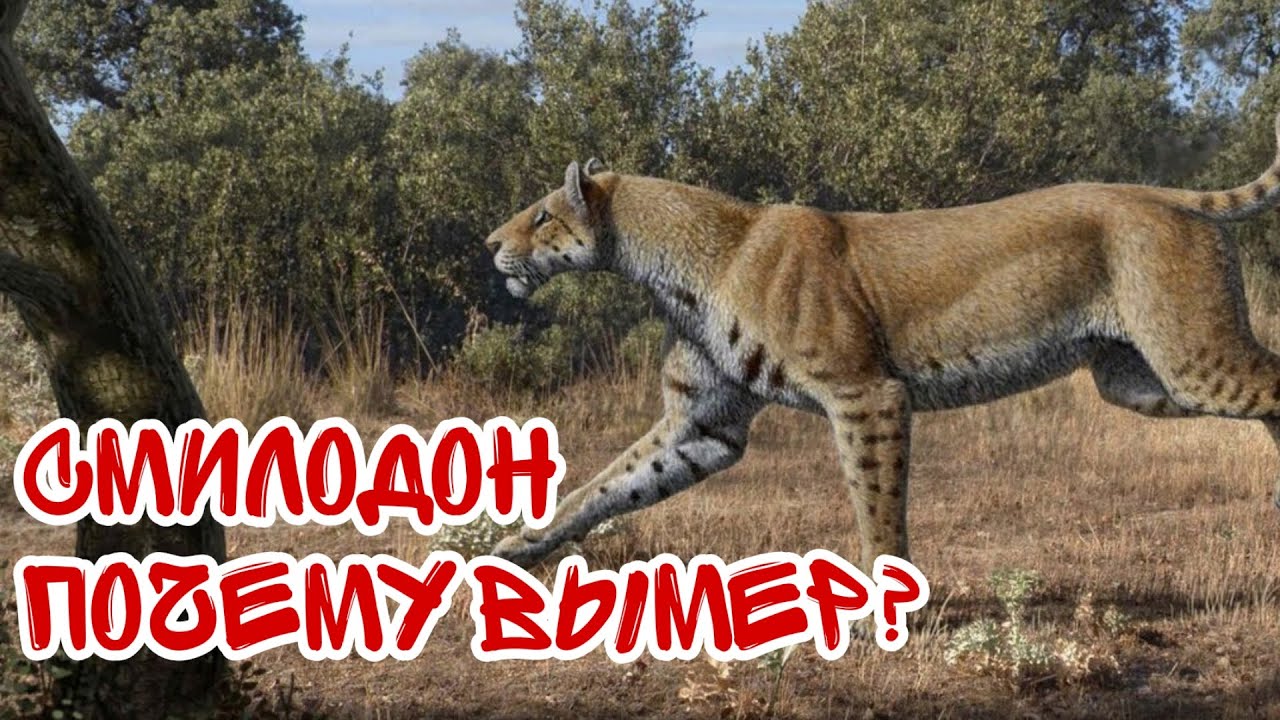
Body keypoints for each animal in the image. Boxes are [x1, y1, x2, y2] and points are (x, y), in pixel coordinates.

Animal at [483, 118, 1280, 572]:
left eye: (543, 216)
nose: (491, 244)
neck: (678, 268)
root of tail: (1167, 192)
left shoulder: (866, 393)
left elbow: (875, 499)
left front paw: (882, 605)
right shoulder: (704, 424)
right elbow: (607, 484)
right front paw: (518, 550)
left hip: (1192, 356)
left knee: (1272, 382)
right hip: (1140, 382)